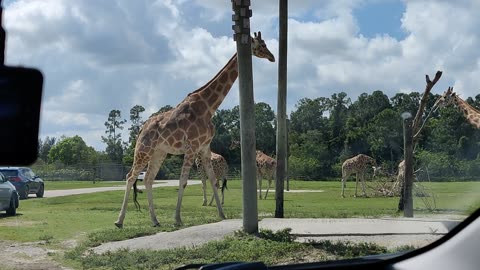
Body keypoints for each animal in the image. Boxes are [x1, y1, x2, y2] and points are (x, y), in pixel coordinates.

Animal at [114, 31, 276, 227]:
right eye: (261, 45)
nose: (272, 57)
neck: (208, 108)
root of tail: (141, 130)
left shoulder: (204, 148)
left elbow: (213, 180)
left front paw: (222, 214)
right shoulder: (191, 147)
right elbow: (183, 181)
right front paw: (177, 218)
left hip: (159, 152)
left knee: (148, 178)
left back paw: (155, 220)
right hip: (144, 149)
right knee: (130, 176)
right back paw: (119, 221)